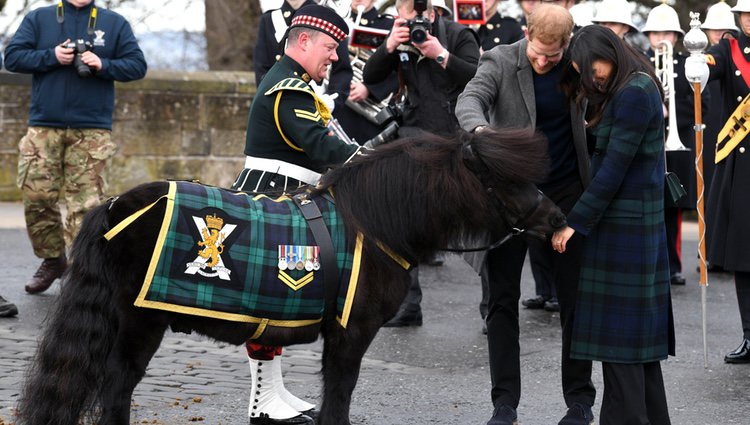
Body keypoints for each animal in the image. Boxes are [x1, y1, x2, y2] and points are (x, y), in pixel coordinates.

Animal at [16, 128, 564, 424]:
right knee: (116, 391)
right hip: (139, 323)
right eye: (504, 177)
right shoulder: (351, 333)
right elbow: (339, 398)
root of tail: (114, 206)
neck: (373, 221)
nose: (557, 218)